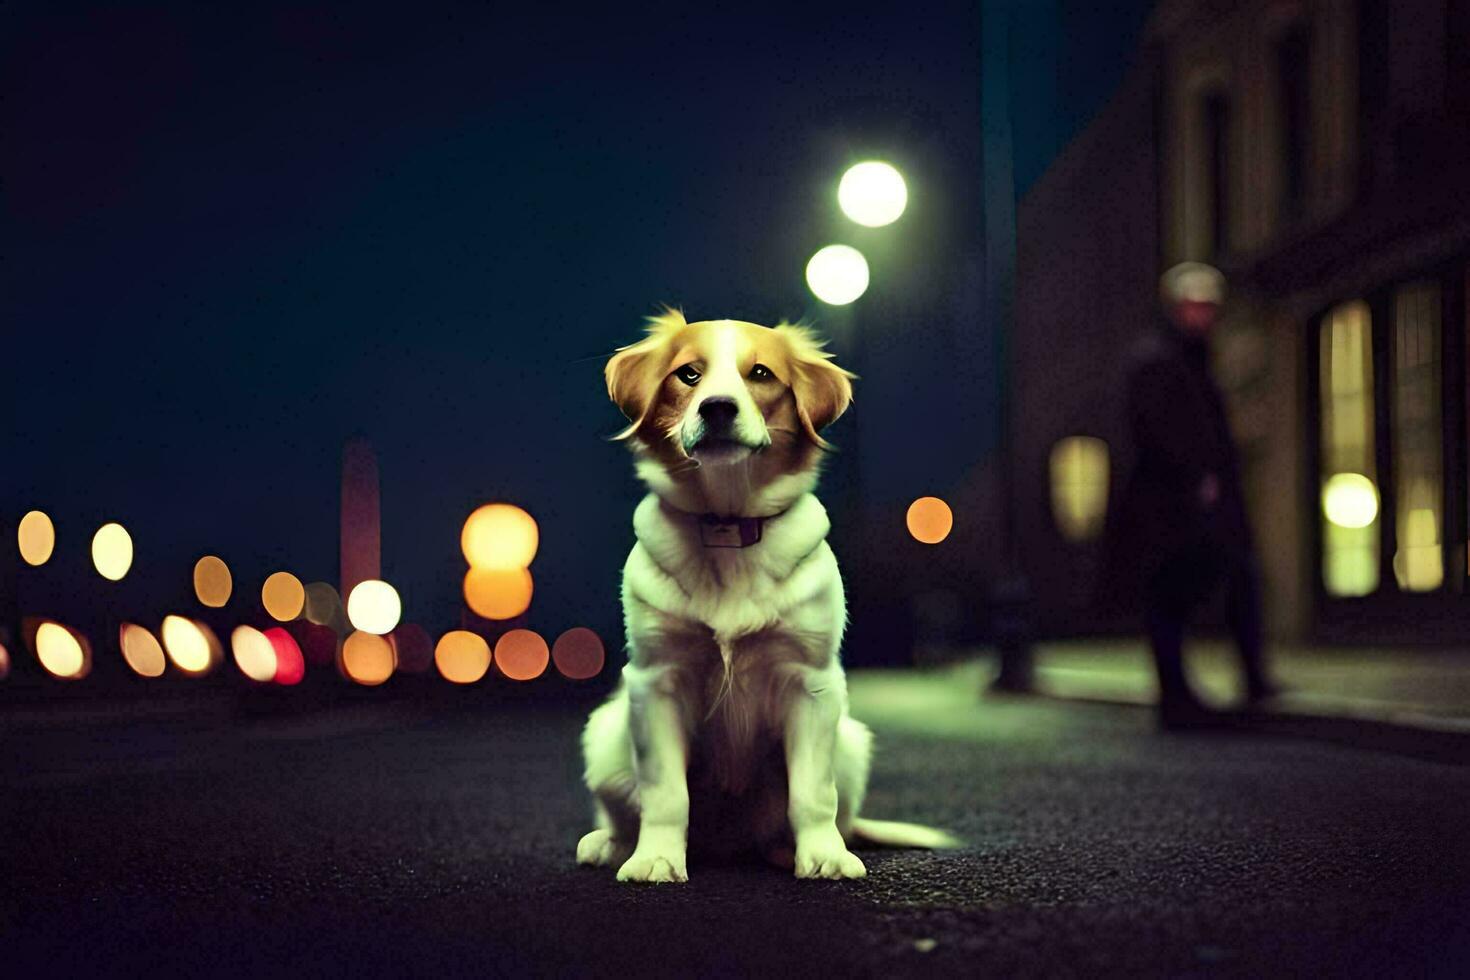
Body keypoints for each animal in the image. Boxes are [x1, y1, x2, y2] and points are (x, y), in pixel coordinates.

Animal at [579, 312, 958, 881]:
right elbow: (665, 793)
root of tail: (727, 844)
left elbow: (812, 794)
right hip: (605, 733)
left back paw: (789, 850)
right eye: (688, 374)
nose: (717, 407)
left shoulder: (812, 684)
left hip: (852, 741)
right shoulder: (655, 681)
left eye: (760, 373)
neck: (728, 527)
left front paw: (823, 856)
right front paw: (656, 858)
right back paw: (612, 844)